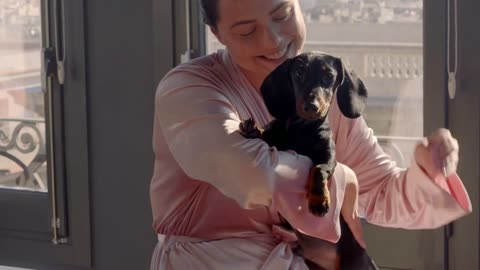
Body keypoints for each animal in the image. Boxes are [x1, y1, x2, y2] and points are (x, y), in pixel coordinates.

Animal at [238, 51, 376, 268]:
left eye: (329, 76)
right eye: (299, 73)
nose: (311, 106)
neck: (301, 129)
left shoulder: (328, 157)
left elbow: (318, 169)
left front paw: (320, 201)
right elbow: (266, 134)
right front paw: (253, 129)